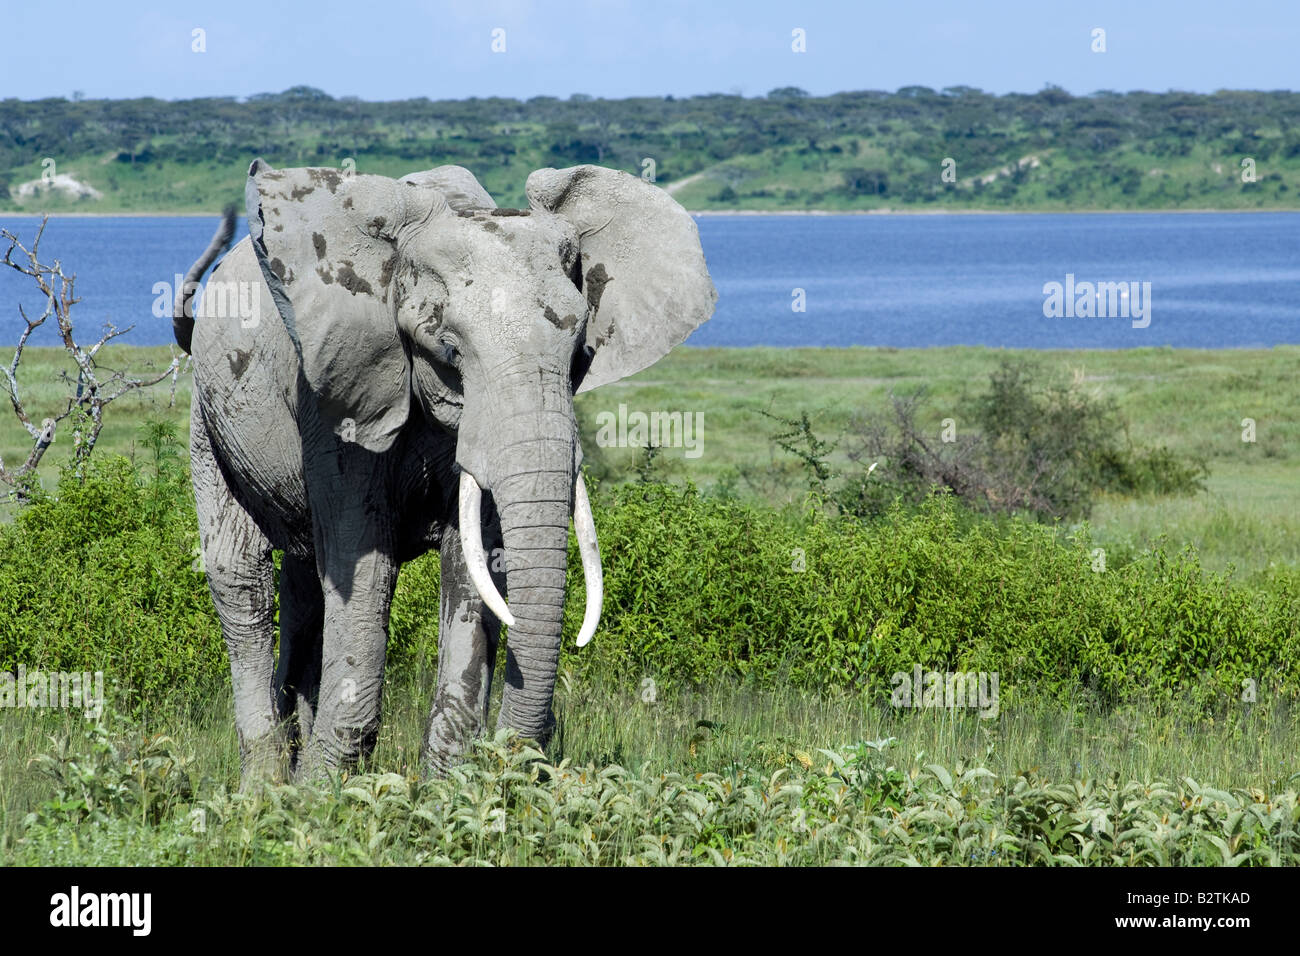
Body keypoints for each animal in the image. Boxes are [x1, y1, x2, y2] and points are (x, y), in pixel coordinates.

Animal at [174, 158, 717, 785]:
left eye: (580, 353)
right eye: (450, 349)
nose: (526, 749)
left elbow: (473, 563)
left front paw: (444, 789)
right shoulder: (334, 395)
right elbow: (366, 561)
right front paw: (324, 794)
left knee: (305, 584)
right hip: (209, 415)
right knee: (242, 579)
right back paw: (265, 789)